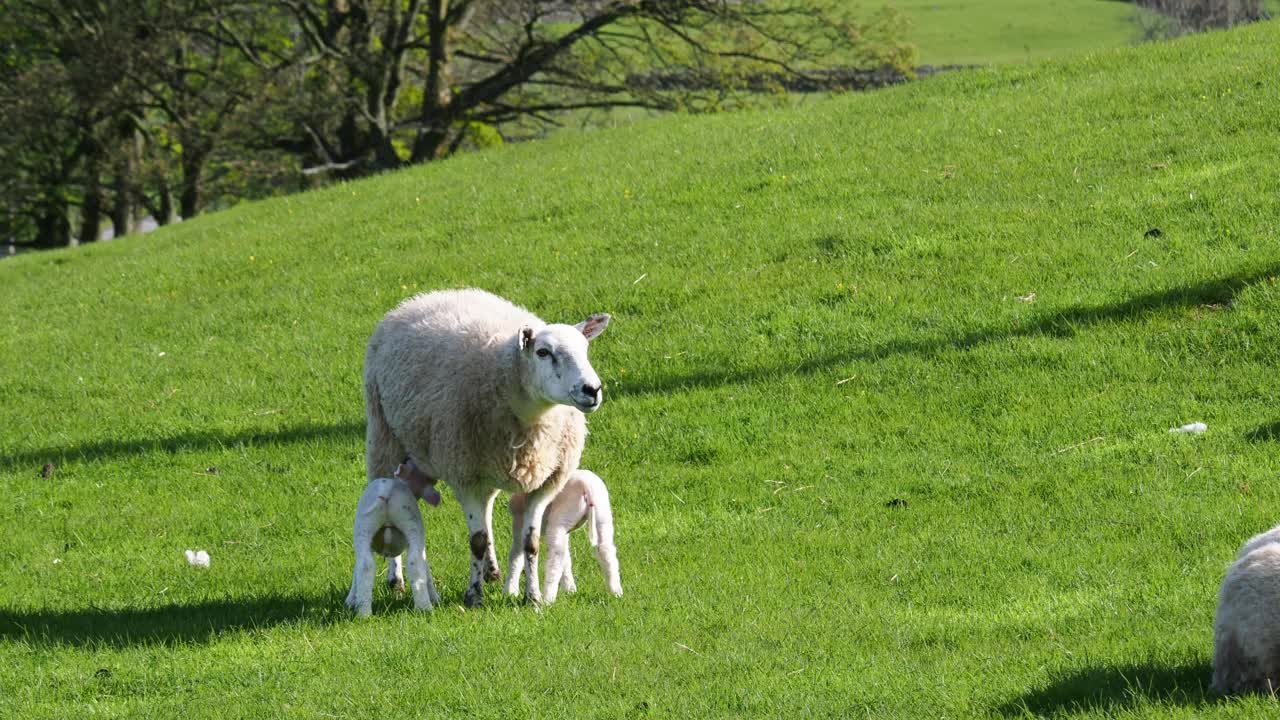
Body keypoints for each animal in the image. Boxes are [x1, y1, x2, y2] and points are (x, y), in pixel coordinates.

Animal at [345, 456, 445, 614]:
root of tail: (386, 491)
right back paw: (424, 607)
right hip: (411, 522)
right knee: (414, 561)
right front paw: (435, 598)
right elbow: (425, 566)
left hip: (364, 527)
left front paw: (350, 600)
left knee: (365, 564)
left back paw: (363, 612)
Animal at [366, 285, 609, 604]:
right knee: (392, 495)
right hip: (385, 437)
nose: (592, 390)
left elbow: (531, 542)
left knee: (488, 506)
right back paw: (396, 579)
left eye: (585, 349)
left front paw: (533, 598)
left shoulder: (545, 483)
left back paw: (491, 570)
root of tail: (423, 297)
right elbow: (477, 541)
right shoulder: (465, 475)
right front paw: (474, 595)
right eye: (543, 352)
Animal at [504, 468, 624, 602]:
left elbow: (516, 556)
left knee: (555, 557)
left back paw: (548, 598)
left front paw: (510, 591)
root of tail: (586, 486)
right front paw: (569, 589)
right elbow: (567, 558)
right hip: (601, 515)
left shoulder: (519, 522)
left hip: (559, 519)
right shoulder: (566, 532)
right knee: (605, 551)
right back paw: (616, 592)